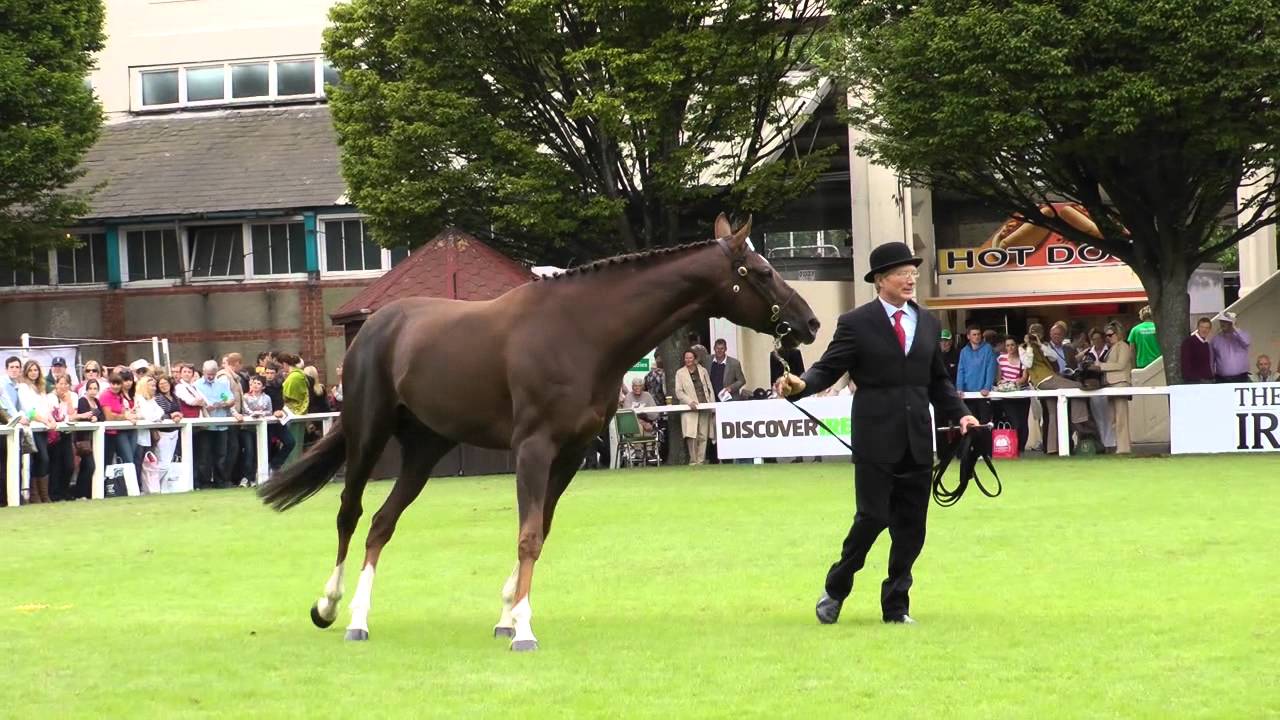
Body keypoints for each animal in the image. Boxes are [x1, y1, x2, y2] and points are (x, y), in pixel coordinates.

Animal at [259, 213, 820, 651]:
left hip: (426, 448)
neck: (580, 333)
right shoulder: (533, 448)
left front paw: (508, 614)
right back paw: (334, 609)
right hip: (369, 432)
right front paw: (524, 628)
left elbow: (541, 529)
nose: (810, 323)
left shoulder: (570, 453)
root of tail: (377, 326)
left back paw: (357, 613)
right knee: (349, 512)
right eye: (762, 272)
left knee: (381, 523)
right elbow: (528, 534)